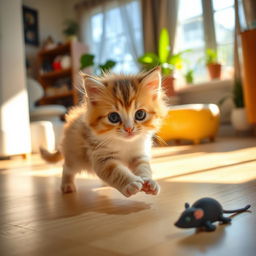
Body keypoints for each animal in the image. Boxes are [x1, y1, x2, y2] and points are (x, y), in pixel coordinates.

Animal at [40, 67, 168, 197]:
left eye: (140, 114)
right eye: (113, 117)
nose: (129, 129)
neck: (125, 143)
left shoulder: (139, 155)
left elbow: (144, 167)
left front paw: (149, 181)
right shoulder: (102, 158)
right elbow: (117, 172)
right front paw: (130, 183)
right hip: (76, 157)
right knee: (67, 168)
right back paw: (67, 185)